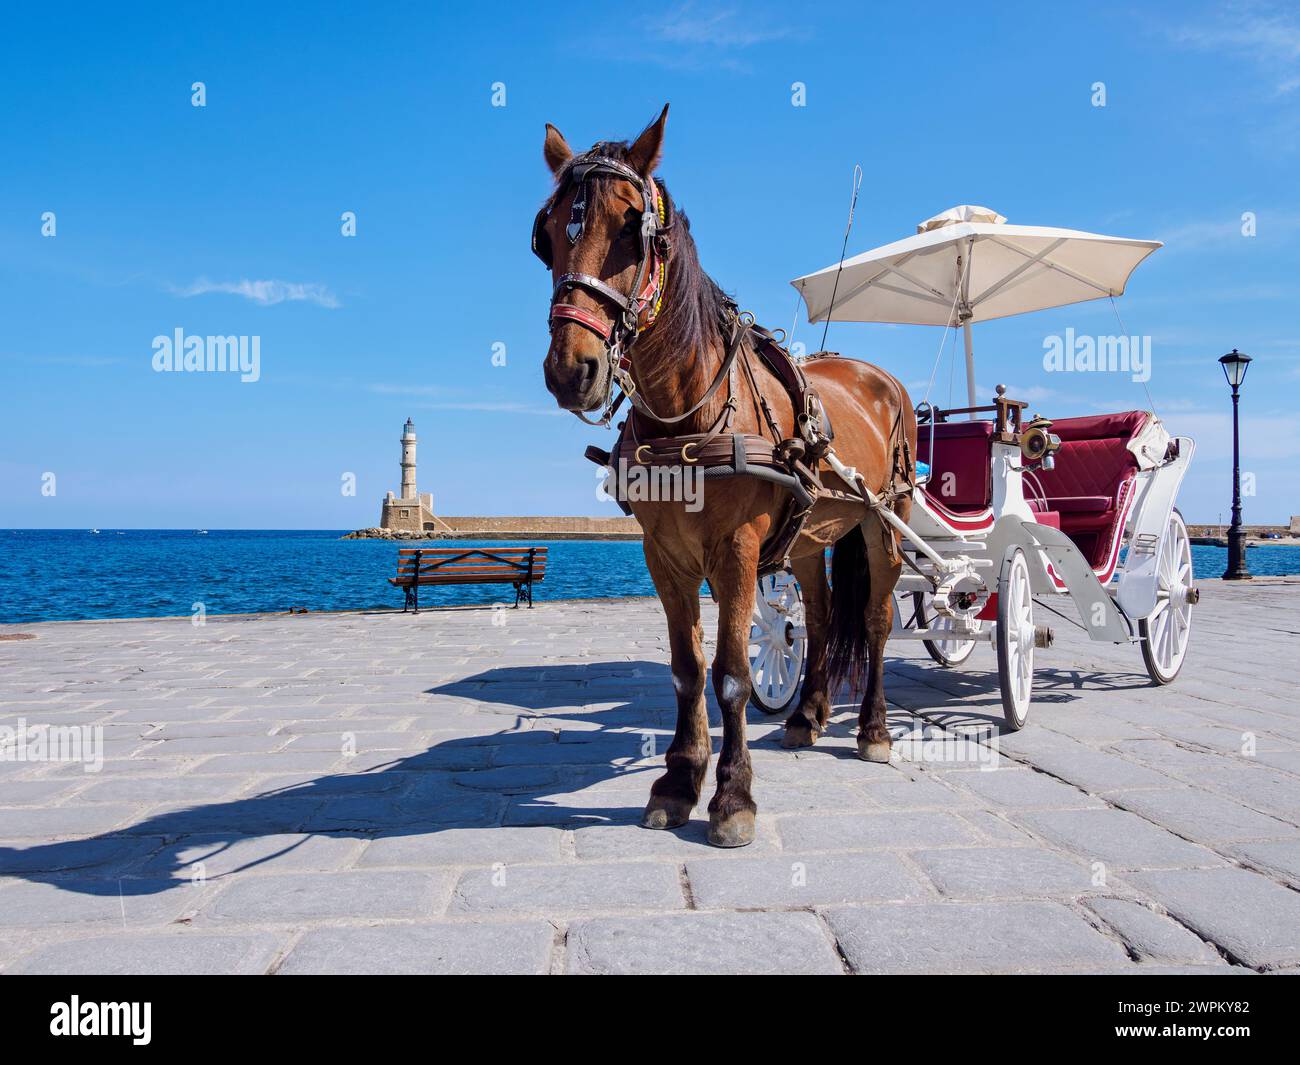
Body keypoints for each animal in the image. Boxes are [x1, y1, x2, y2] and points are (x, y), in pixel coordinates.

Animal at [533, 104, 920, 847]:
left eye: (633, 228)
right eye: (544, 237)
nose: (571, 371)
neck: (690, 410)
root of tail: (881, 377)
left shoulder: (737, 549)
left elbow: (734, 674)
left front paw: (733, 795)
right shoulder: (664, 553)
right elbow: (687, 671)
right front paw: (678, 782)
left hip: (885, 522)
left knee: (877, 619)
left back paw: (873, 729)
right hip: (808, 539)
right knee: (821, 615)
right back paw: (805, 716)